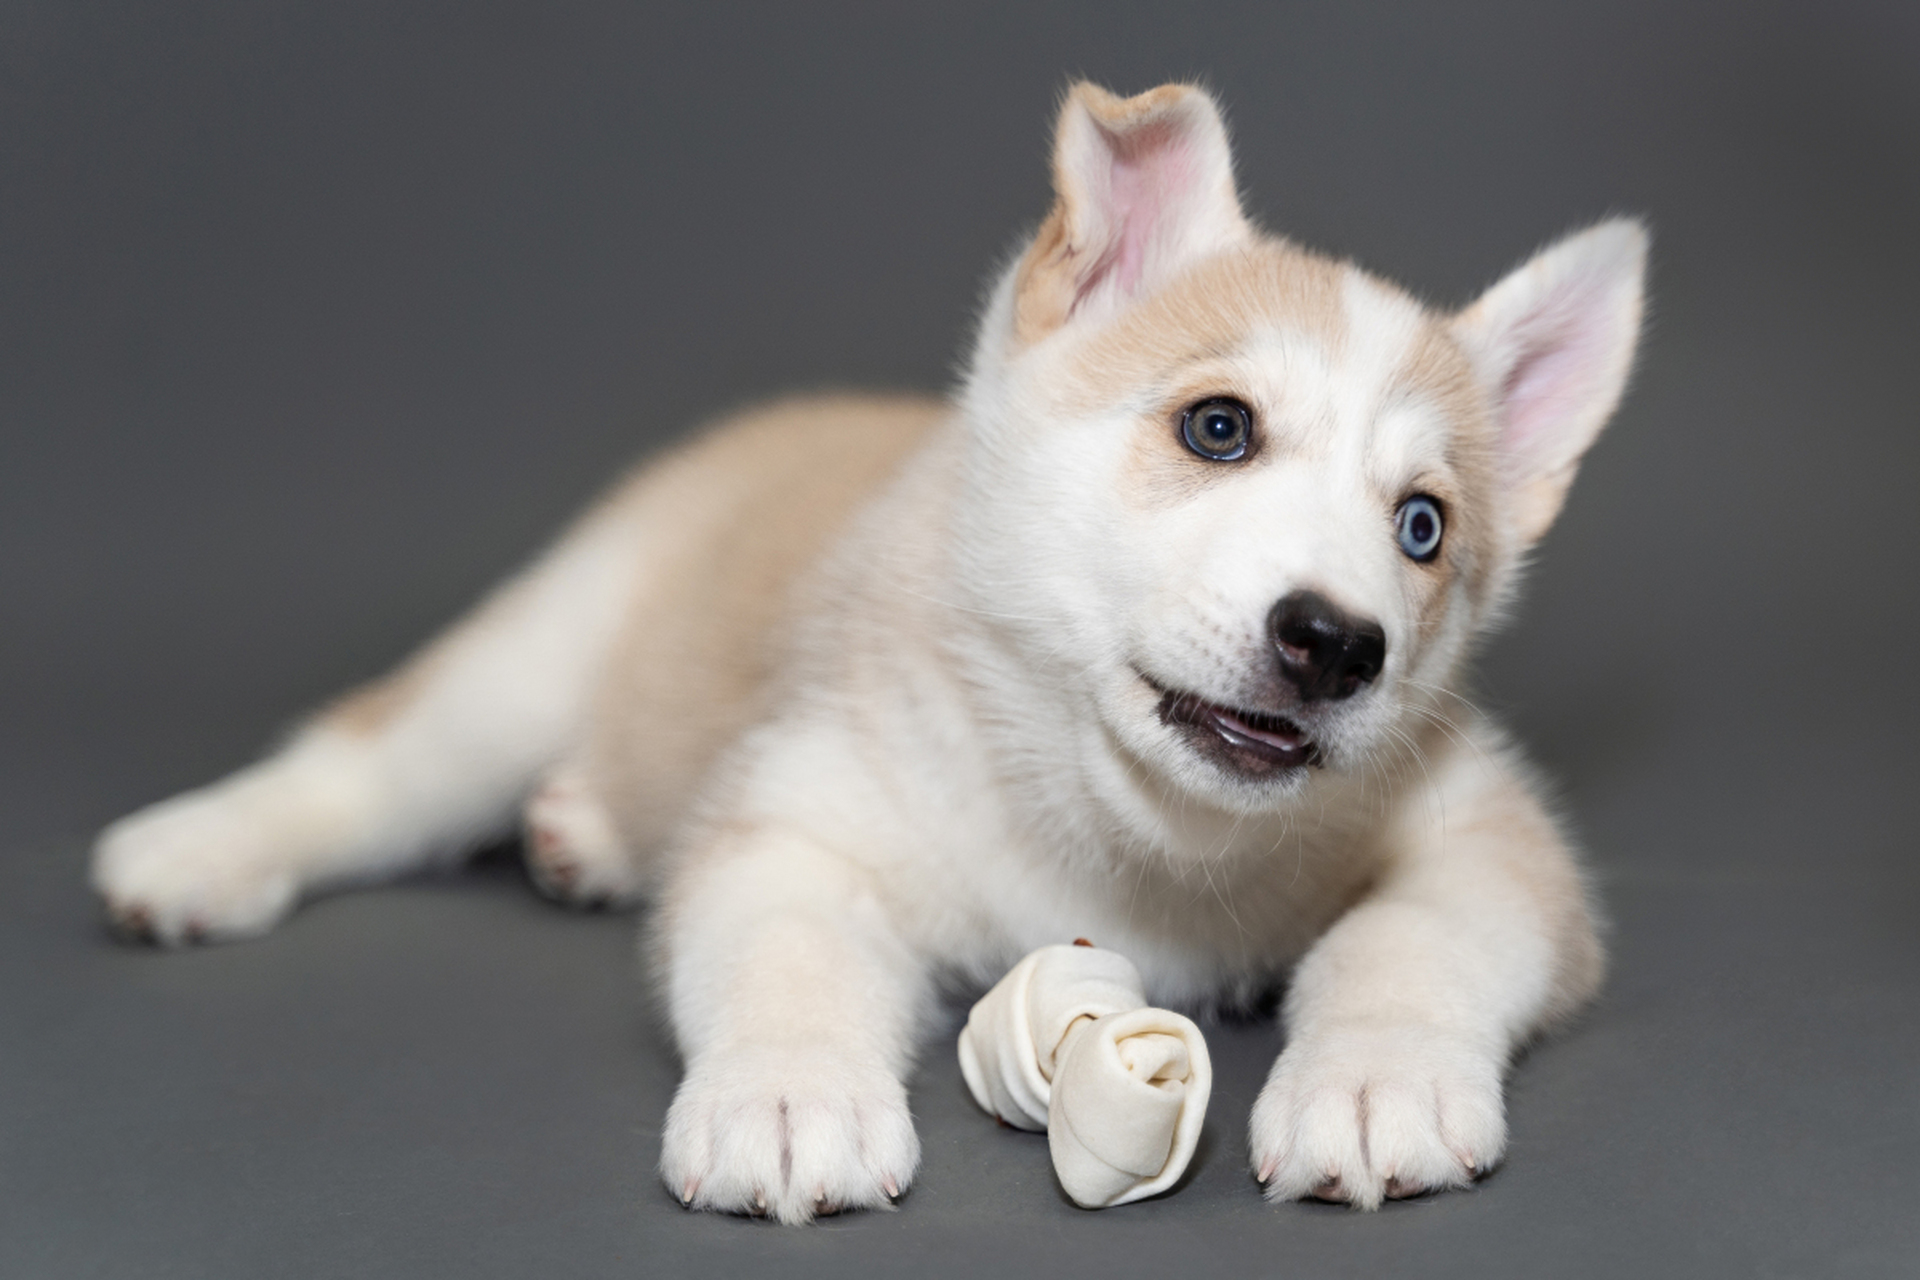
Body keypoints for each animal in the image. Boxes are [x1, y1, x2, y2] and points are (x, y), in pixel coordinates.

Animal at [93, 84, 1651, 1228]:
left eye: (1422, 527)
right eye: (1219, 427)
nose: (1336, 642)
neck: (1129, 831)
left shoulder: (1489, 834)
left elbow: (1411, 937)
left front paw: (1378, 1079)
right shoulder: (795, 817)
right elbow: (787, 957)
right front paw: (788, 1102)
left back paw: (579, 831)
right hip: (533, 660)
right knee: (373, 762)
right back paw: (196, 850)